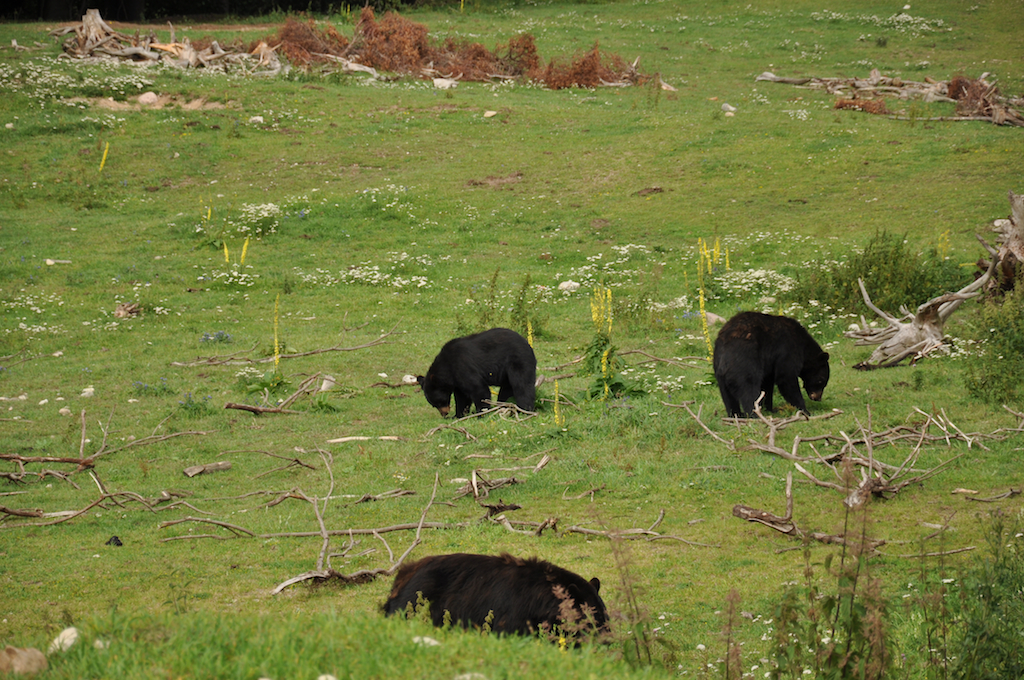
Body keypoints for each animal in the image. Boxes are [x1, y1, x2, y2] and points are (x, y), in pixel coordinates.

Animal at [382, 552, 609, 639]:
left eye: (605, 614)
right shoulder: (514, 614)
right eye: (593, 618)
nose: (608, 639)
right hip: (417, 598)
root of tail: (402, 574)